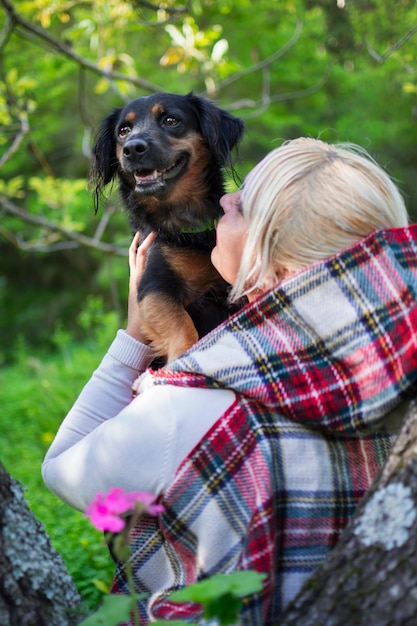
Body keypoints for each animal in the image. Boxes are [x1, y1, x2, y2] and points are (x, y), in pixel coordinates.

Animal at [89, 92, 242, 360]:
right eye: (123, 131)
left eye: (171, 120)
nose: (132, 148)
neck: (184, 225)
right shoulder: (154, 287)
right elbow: (184, 330)